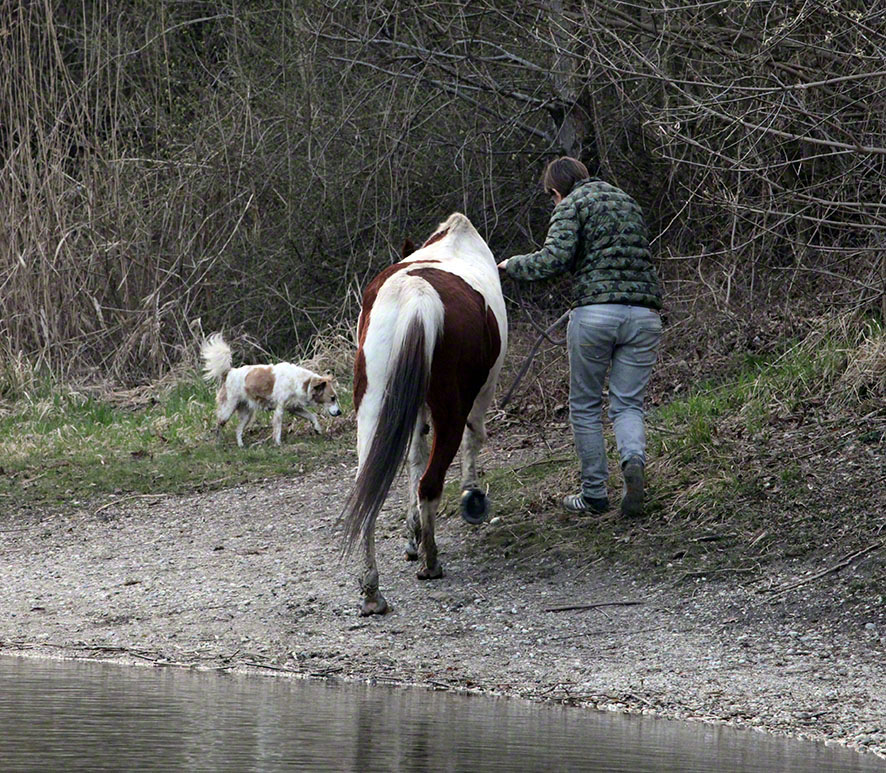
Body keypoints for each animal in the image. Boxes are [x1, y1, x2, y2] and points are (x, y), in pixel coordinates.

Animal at [201, 332, 344, 446]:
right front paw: (278, 443)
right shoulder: (280, 408)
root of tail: (229, 372)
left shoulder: (294, 407)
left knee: (238, 429)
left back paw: (241, 446)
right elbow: (278, 427)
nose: (339, 412)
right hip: (228, 410)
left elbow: (312, 416)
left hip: (247, 414)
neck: (303, 382)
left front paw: (317, 429)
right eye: (332, 398)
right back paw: (218, 443)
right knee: (218, 425)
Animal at [340, 211, 510, 616]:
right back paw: (431, 561)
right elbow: (474, 439)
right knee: (430, 482)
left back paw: (372, 590)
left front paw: (411, 533)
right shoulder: (482, 394)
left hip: (372, 405)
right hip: (451, 408)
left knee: (369, 486)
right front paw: (471, 495)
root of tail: (417, 297)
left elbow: (413, 456)